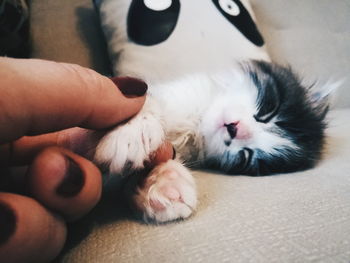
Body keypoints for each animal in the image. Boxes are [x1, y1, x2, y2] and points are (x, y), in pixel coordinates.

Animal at [94, 0, 330, 224]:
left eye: (247, 156)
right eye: (268, 110)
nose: (235, 129)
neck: (196, 125)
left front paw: (164, 183)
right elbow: (148, 101)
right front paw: (130, 134)